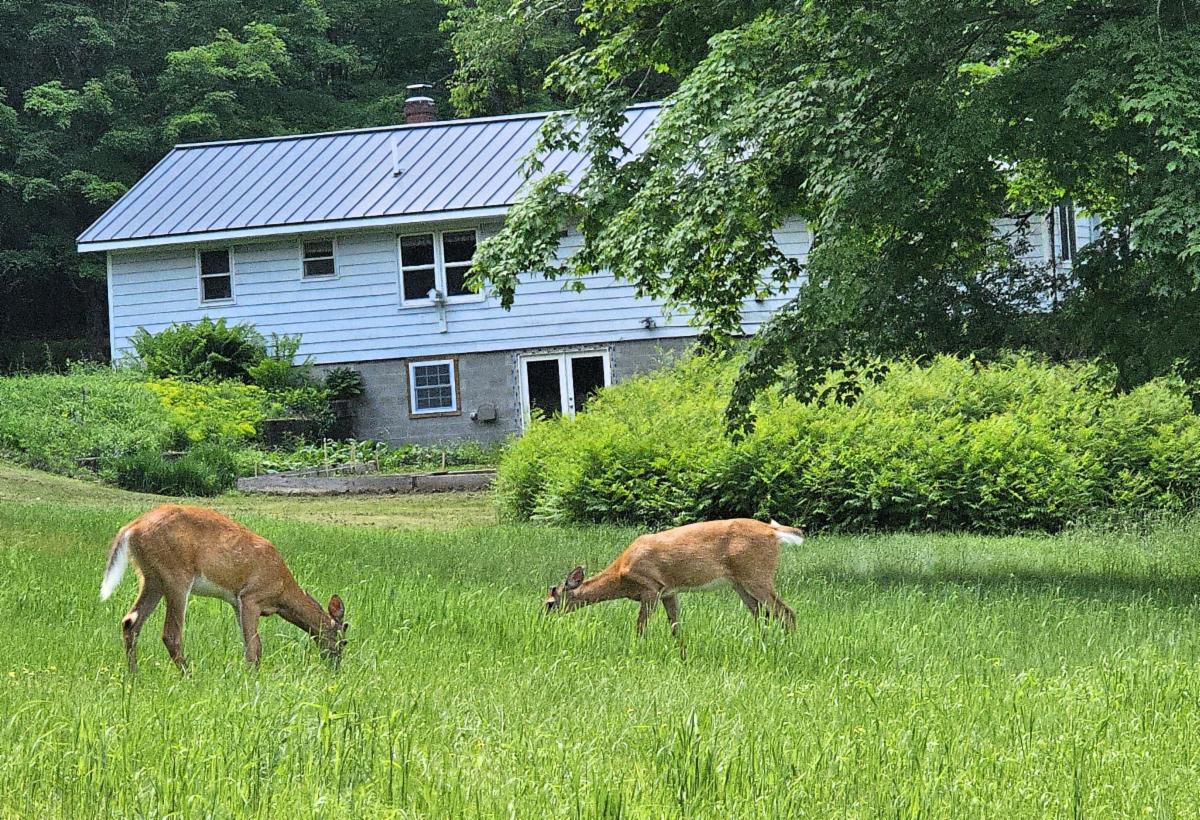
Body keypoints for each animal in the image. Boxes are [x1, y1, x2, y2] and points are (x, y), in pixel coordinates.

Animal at [100, 504, 347, 673]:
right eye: (343, 641)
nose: (336, 667)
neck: (282, 592)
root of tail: (131, 527)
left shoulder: (237, 603)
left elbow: (249, 643)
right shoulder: (251, 596)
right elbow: (255, 646)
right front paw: (253, 677)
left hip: (151, 578)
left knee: (130, 622)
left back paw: (134, 674)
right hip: (176, 575)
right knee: (170, 633)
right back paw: (189, 677)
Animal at [545, 518, 804, 638]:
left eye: (549, 603)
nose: (542, 621)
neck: (621, 577)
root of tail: (773, 532)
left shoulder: (650, 587)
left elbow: (640, 626)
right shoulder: (669, 591)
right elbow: (676, 627)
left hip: (756, 574)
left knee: (786, 612)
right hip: (739, 582)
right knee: (762, 614)